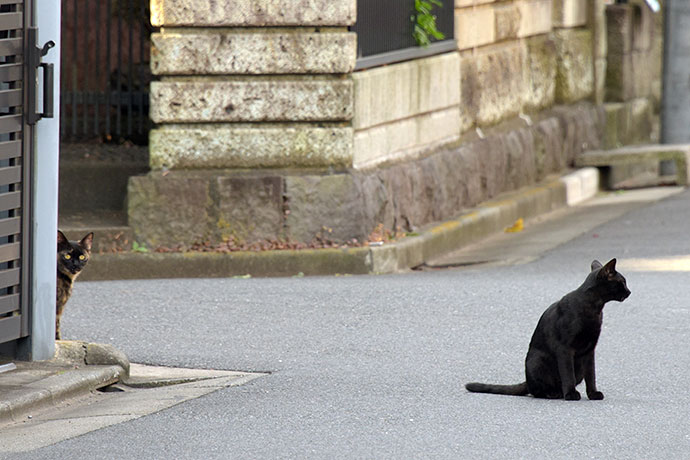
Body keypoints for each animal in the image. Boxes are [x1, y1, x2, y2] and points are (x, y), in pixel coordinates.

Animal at [462, 258, 628, 398]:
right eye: (622, 282)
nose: (629, 291)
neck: (594, 308)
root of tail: (526, 380)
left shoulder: (590, 349)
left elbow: (591, 375)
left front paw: (593, 394)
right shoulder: (565, 348)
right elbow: (567, 373)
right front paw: (571, 394)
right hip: (537, 360)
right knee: (537, 390)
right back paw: (554, 393)